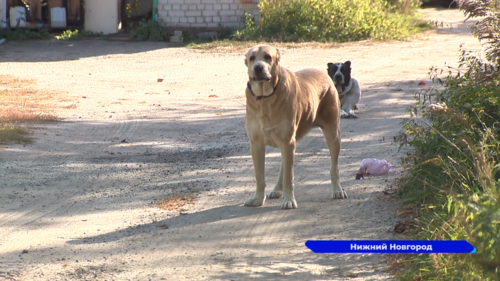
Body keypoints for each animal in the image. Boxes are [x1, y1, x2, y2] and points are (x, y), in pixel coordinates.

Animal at [243, 45, 348, 208]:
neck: (265, 98)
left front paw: (289, 200)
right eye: (252, 58)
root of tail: (325, 75)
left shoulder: (287, 142)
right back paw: (276, 190)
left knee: (334, 166)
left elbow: (289, 177)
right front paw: (258, 199)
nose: (258, 67)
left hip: (333, 134)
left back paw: (337, 190)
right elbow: (259, 176)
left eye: (268, 57)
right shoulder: (257, 144)